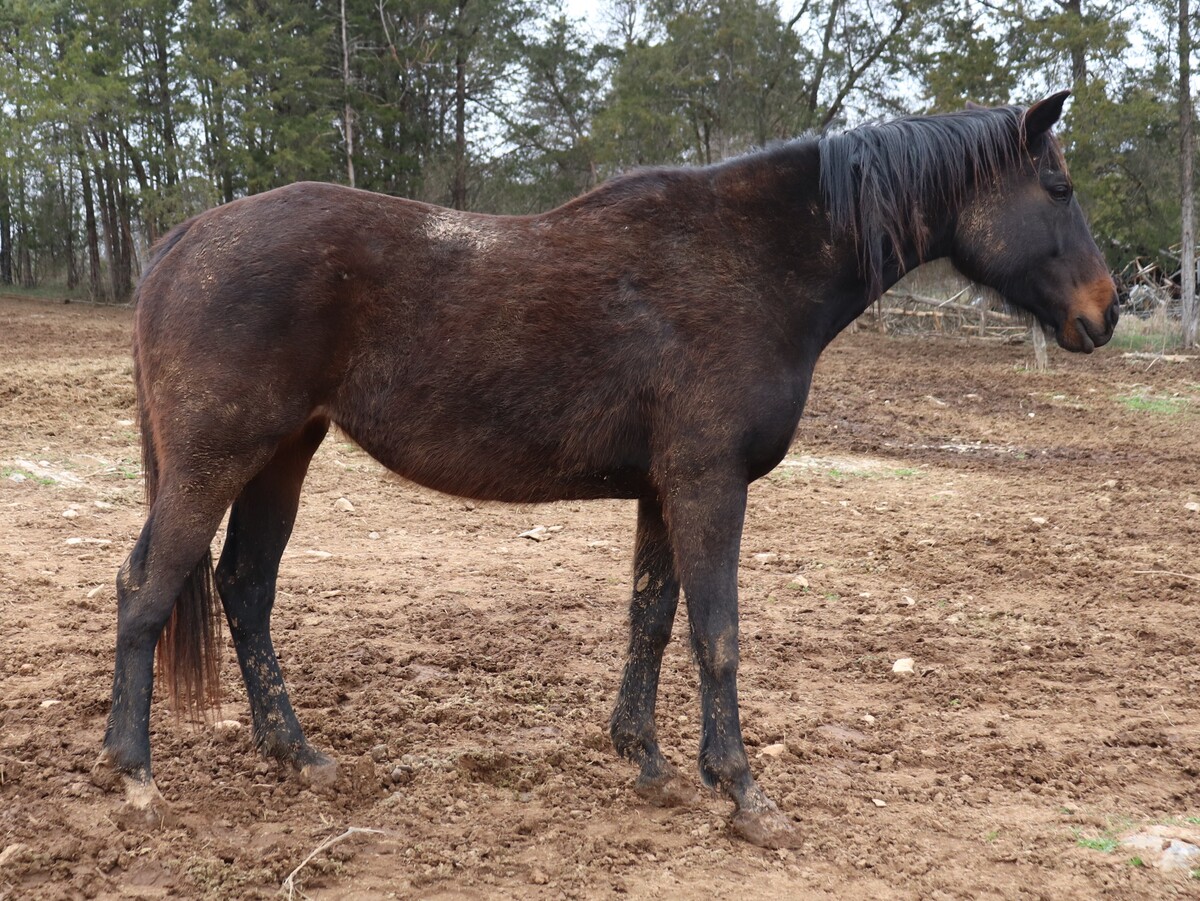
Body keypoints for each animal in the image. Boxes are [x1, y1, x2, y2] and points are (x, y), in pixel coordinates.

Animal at [93, 91, 1116, 848]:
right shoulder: (709, 484)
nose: (1105, 312)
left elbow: (652, 619)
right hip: (215, 461)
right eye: (1058, 185)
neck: (753, 262)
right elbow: (716, 632)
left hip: (284, 456)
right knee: (147, 588)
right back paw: (135, 772)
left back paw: (296, 754)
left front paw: (646, 760)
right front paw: (743, 793)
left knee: (244, 586)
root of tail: (186, 240)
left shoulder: (664, 491)